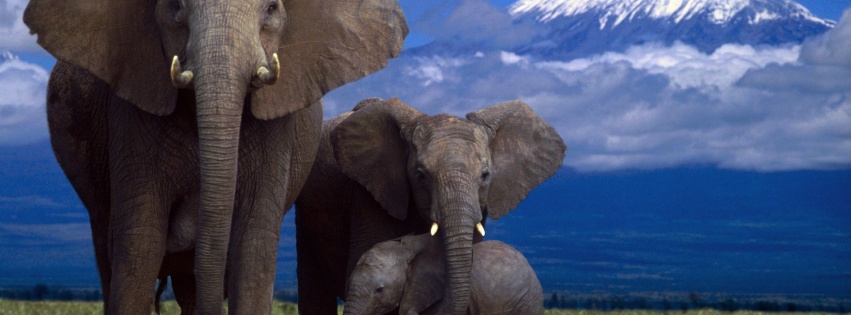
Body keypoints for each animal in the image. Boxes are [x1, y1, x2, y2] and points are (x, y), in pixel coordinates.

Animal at [24, 0, 410, 315]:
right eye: (175, 4)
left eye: (272, 8)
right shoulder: (132, 112)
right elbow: (140, 244)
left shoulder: (277, 127)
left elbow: (253, 247)